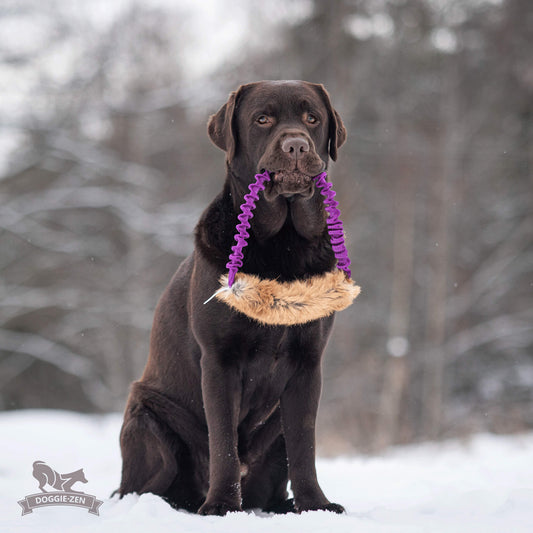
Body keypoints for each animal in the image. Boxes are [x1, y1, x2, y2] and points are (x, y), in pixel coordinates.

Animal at [116, 80, 348, 516]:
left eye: (312, 118)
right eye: (263, 119)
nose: (296, 145)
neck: (282, 246)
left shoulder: (309, 362)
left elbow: (304, 443)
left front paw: (316, 504)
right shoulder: (220, 359)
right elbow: (223, 440)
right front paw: (222, 505)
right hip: (148, 414)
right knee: (138, 488)